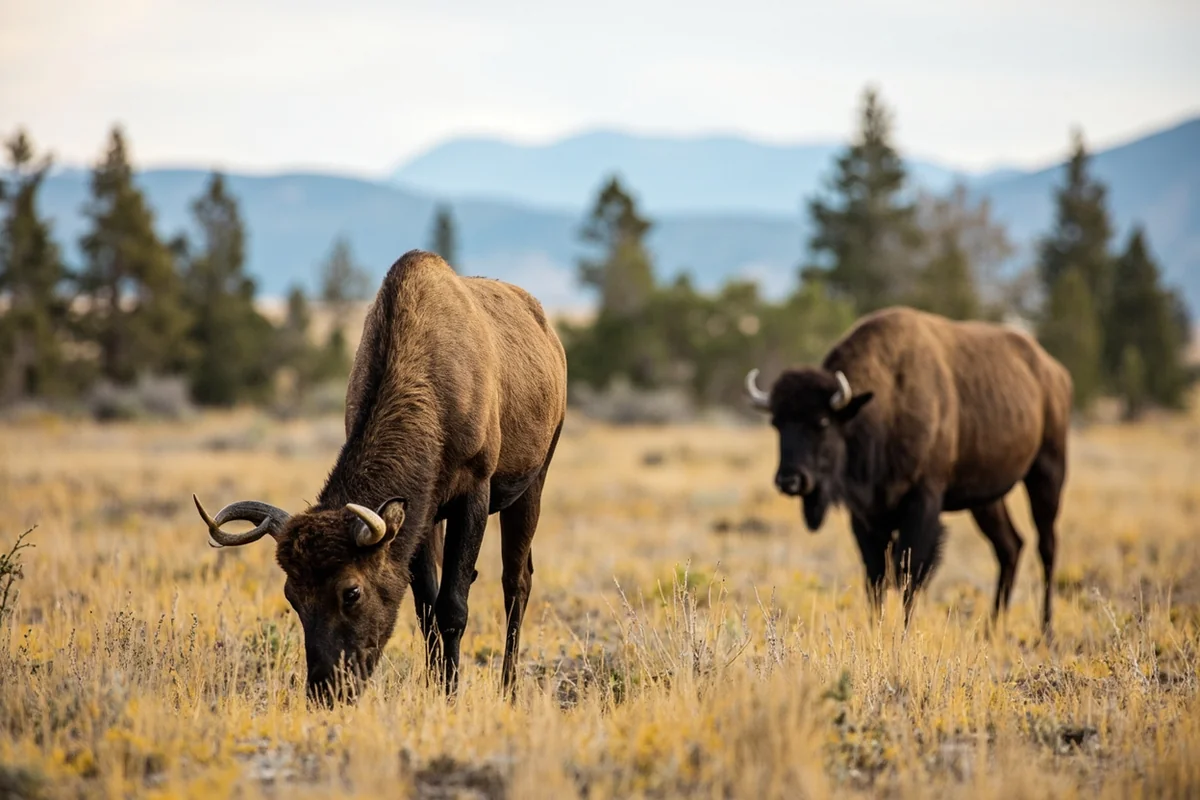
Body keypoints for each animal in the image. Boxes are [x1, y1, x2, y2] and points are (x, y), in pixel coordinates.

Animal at [193, 250, 567, 703]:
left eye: (351, 591)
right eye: (291, 594)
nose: (326, 688)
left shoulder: (474, 490)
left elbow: (453, 606)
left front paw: (451, 693)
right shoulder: (422, 510)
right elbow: (425, 606)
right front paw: (436, 686)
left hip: (535, 479)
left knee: (517, 581)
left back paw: (509, 687)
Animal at [745, 306, 1072, 634]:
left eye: (822, 422)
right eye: (776, 423)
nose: (790, 480)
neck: (884, 404)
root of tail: (1055, 372)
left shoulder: (922, 503)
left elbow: (909, 575)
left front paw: (903, 633)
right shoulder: (866, 516)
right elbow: (875, 577)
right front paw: (875, 630)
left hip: (1046, 474)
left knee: (1047, 547)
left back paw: (1046, 630)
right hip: (987, 501)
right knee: (1010, 547)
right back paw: (991, 629)